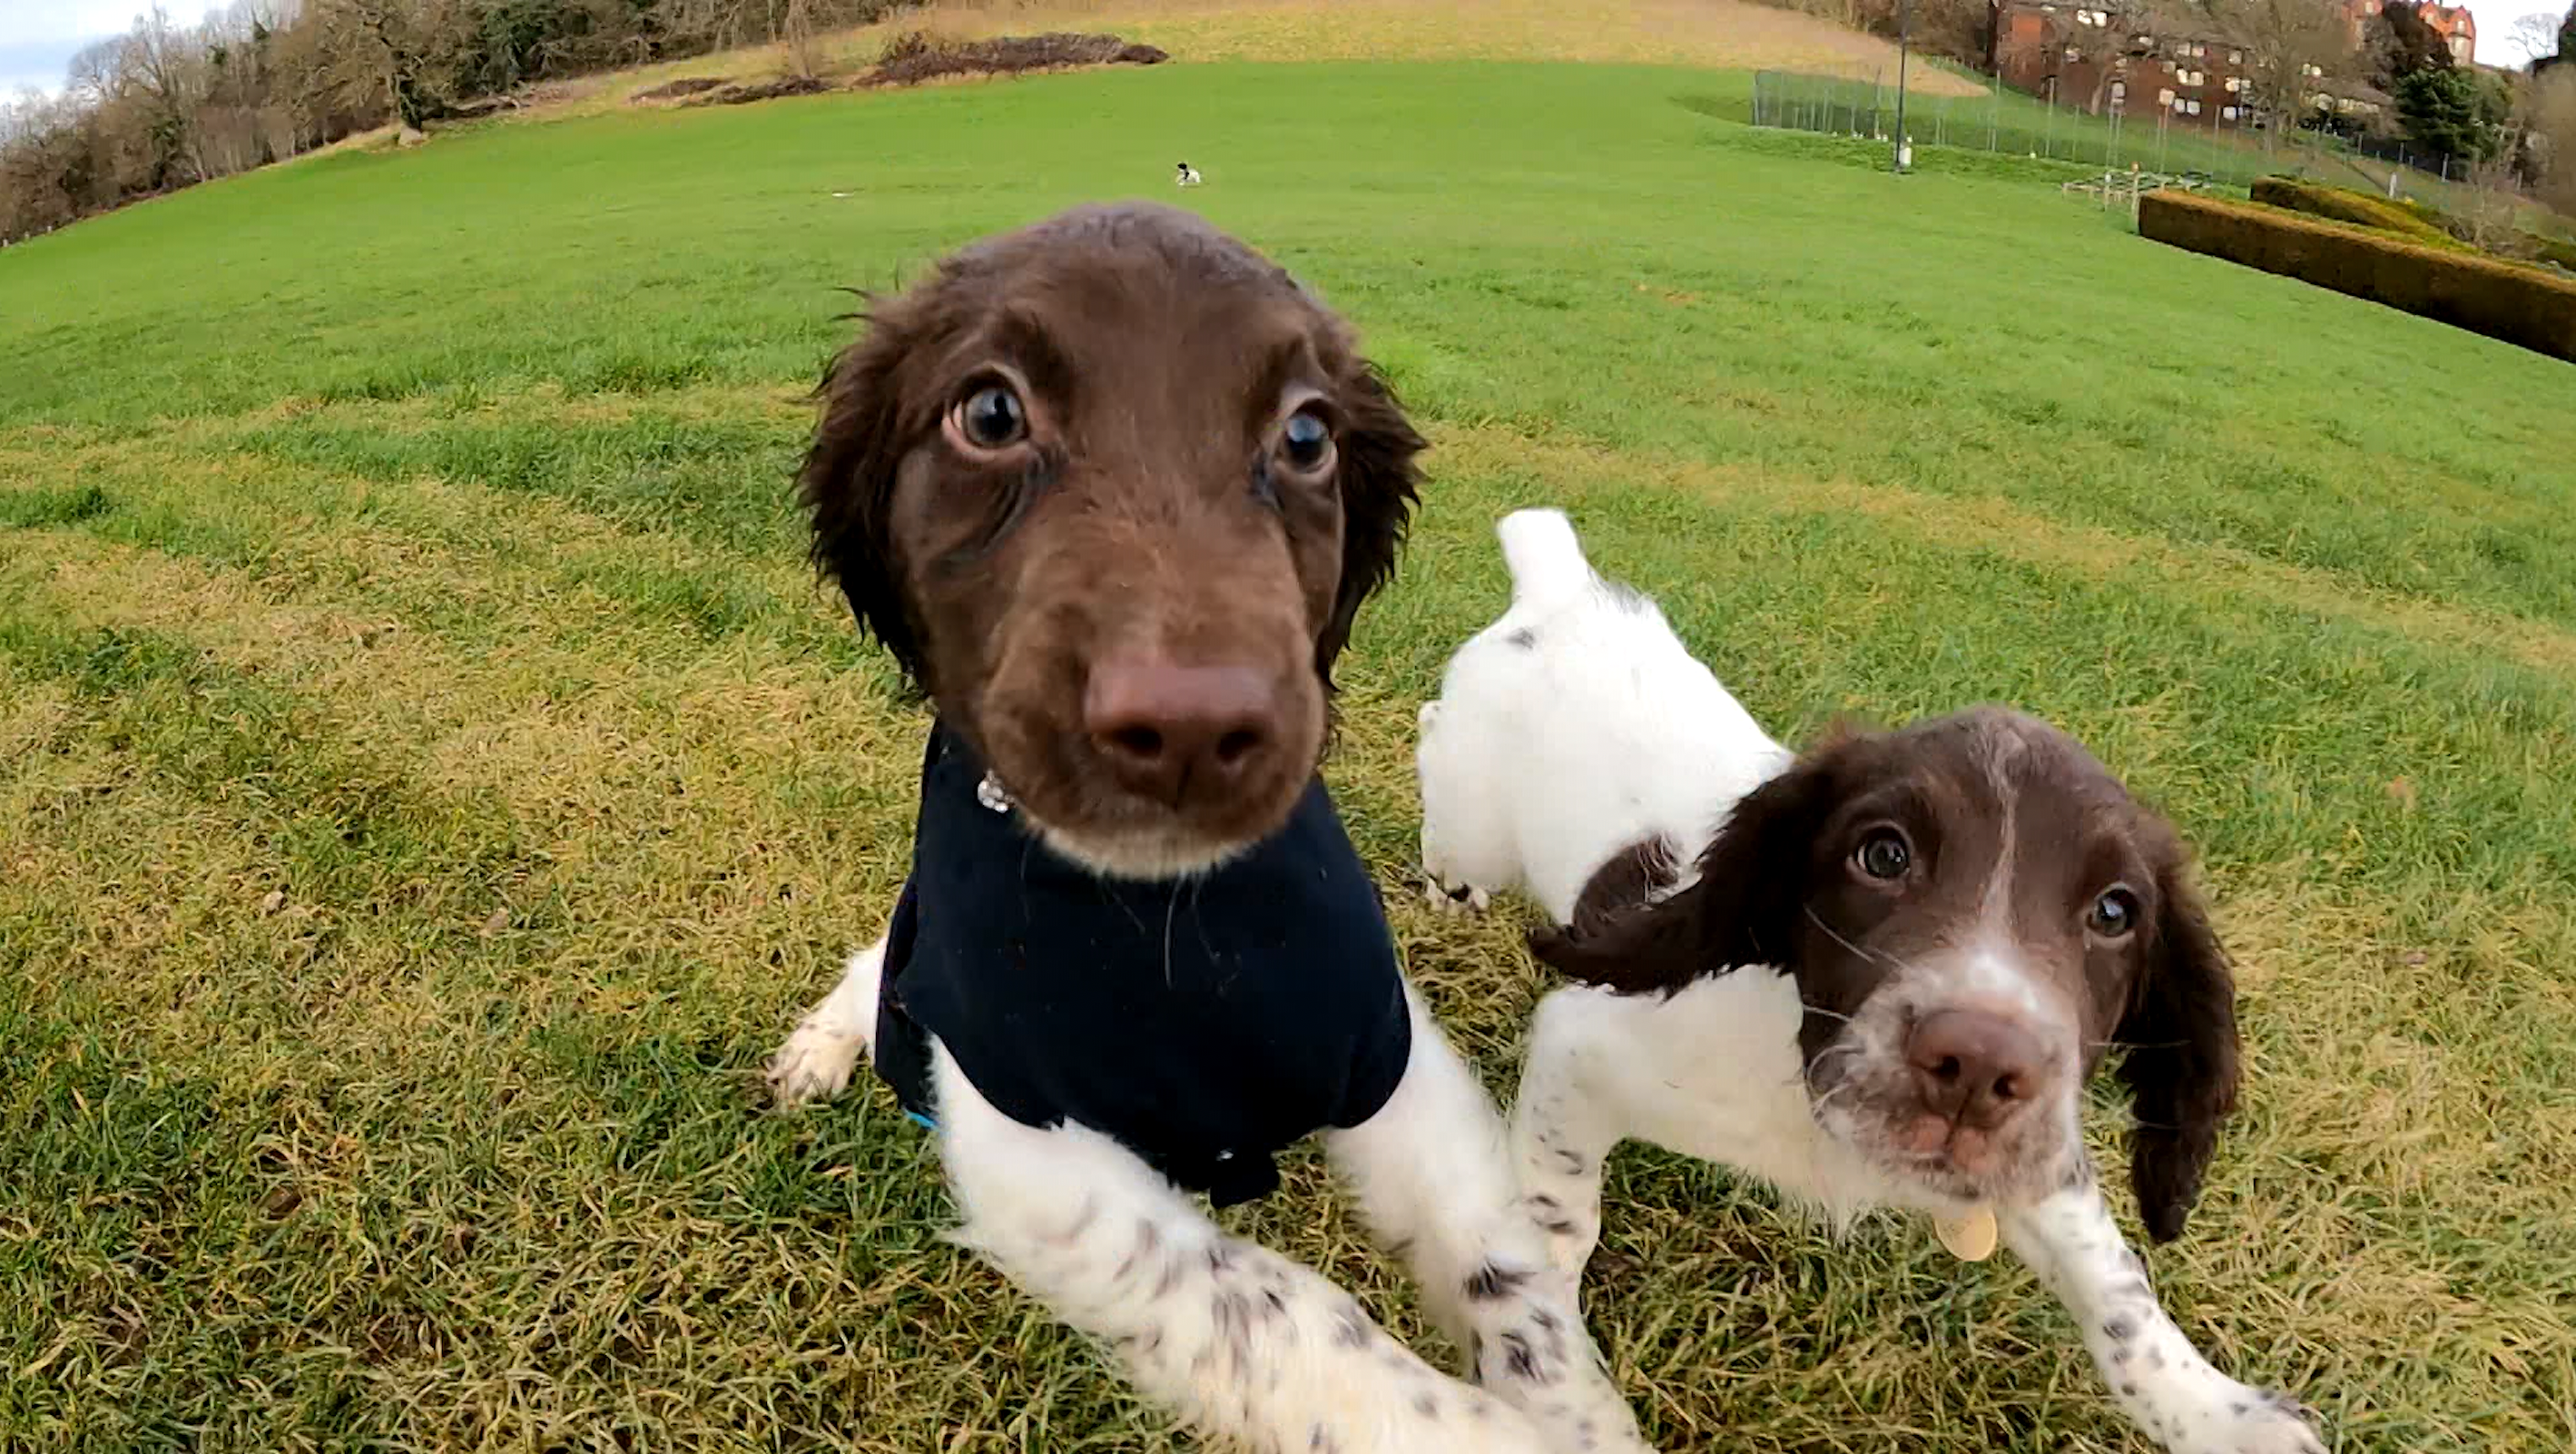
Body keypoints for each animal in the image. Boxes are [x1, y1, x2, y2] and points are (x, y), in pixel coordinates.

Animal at [1421, 507, 2328, 1454]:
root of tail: (1562, 588)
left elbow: (2117, 1289)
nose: (1978, 1065)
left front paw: (2223, 1415)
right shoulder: (1582, 1046)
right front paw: (1545, 1365)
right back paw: (1449, 887)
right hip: (1475, 819)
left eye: (2116, 912)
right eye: (1882, 855)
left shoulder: (2037, 1146)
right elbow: (1556, 1217)